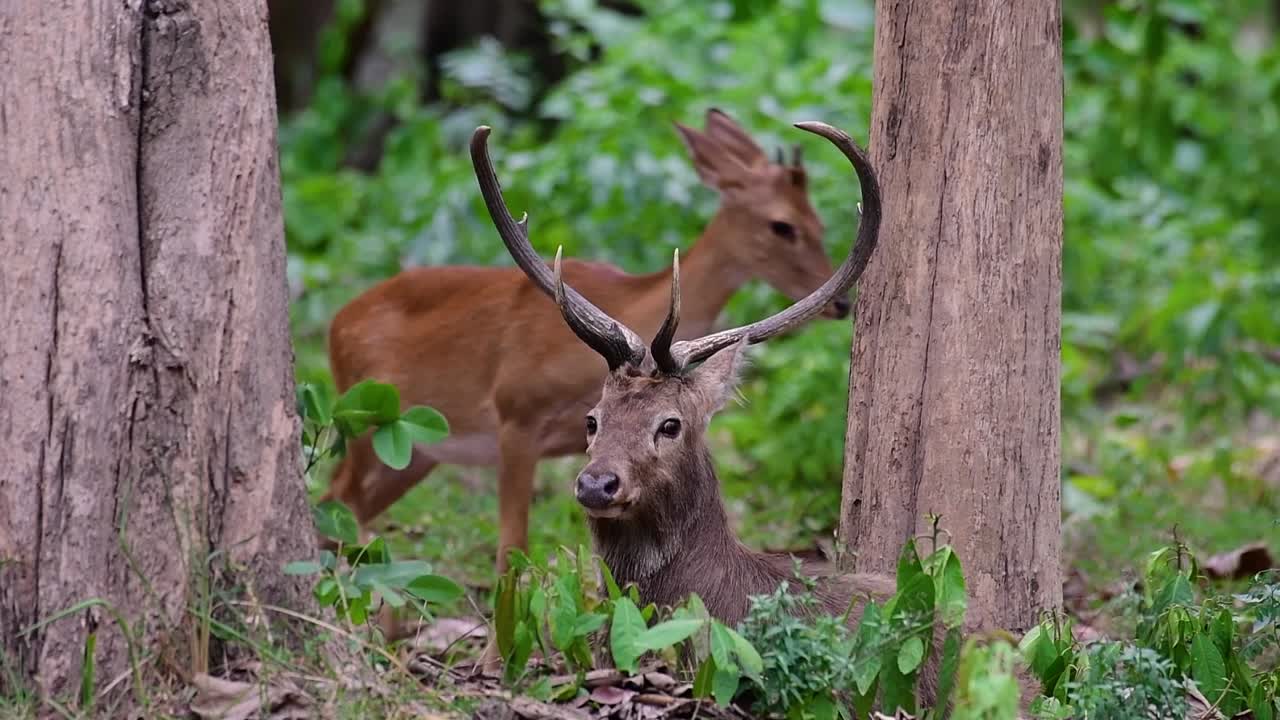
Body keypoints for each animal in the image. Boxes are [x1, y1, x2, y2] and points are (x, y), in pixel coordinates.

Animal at [323, 109, 855, 577]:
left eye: (819, 223)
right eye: (782, 225)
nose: (843, 304)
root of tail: (335, 325)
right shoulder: (514, 412)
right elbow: (511, 549)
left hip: (413, 452)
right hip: (366, 420)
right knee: (337, 501)